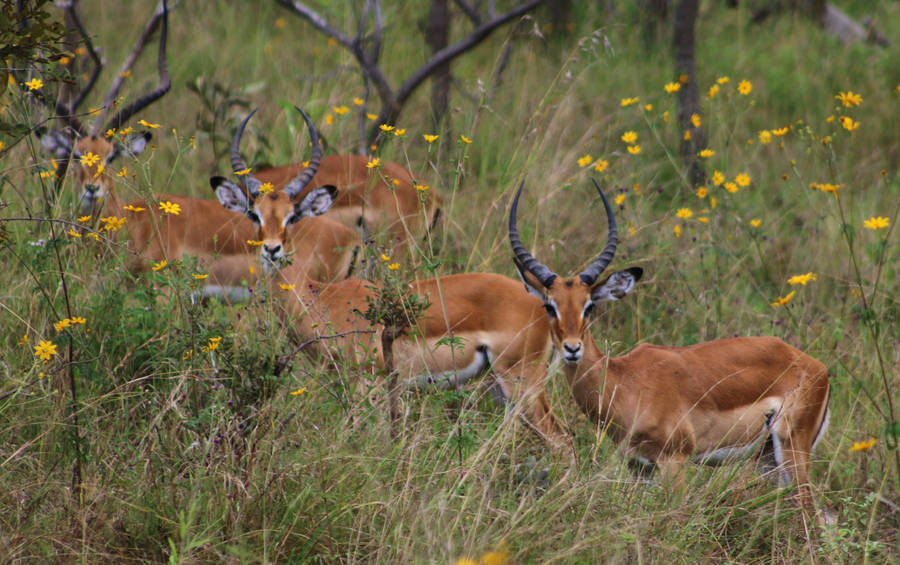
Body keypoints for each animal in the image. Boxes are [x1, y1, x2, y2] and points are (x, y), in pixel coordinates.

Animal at [211, 107, 571, 454]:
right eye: (254, 214)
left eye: (291, 216)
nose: (272, 249)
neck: (320, 298)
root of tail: (544, 304)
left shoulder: (367, 384)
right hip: (499, 385)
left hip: (520, 382)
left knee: (562, 440)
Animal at [508, 179, 831, 506]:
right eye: (550, 306)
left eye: (589, 306)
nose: (572, 349)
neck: (624, 380)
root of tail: (817, 367)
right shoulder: (639, 465)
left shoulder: (675, 461)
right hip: (769, 459)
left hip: (791, 449)